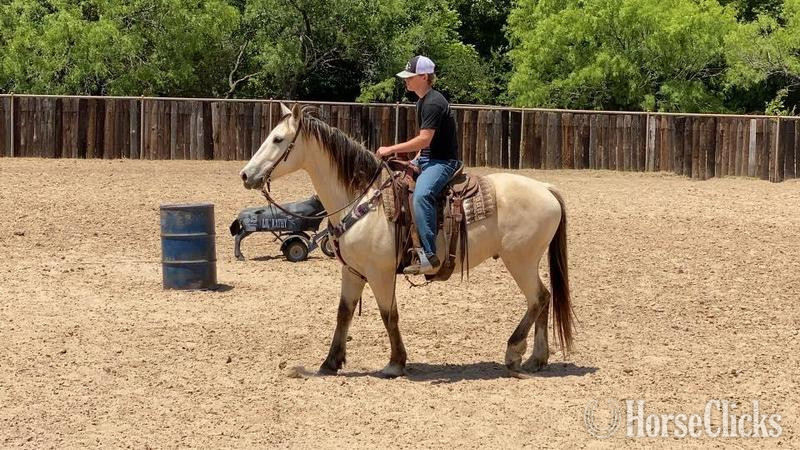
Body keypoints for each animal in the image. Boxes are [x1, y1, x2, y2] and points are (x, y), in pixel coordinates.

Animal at [239, 103, 574, 378]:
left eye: (278, 139)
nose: (245, 175)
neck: (362, 199)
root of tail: (546, 189)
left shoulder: (380, 272)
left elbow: (389, 314)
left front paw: (395, 363)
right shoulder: (352, 270)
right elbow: (343, 313)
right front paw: (330, 362)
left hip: (520, 260)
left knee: (537, 299)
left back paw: (514, 351)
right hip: (525, 261)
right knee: (544, 299)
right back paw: (536, 359)